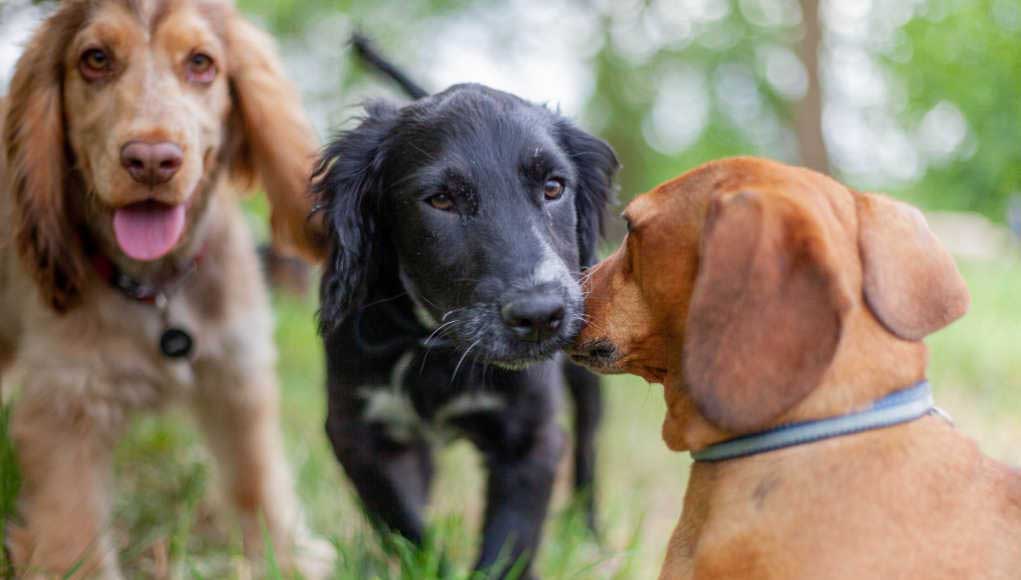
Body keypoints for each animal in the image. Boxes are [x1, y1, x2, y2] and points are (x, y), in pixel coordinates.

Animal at [310, 38, 616, 575]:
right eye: (440, 200)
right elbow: (405, 524)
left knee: (587, 451)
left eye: (553, 187)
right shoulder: (356, 430)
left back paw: (592, 537)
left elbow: (507, 548)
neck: (438, 345)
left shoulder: (532, 437)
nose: (541, 316)